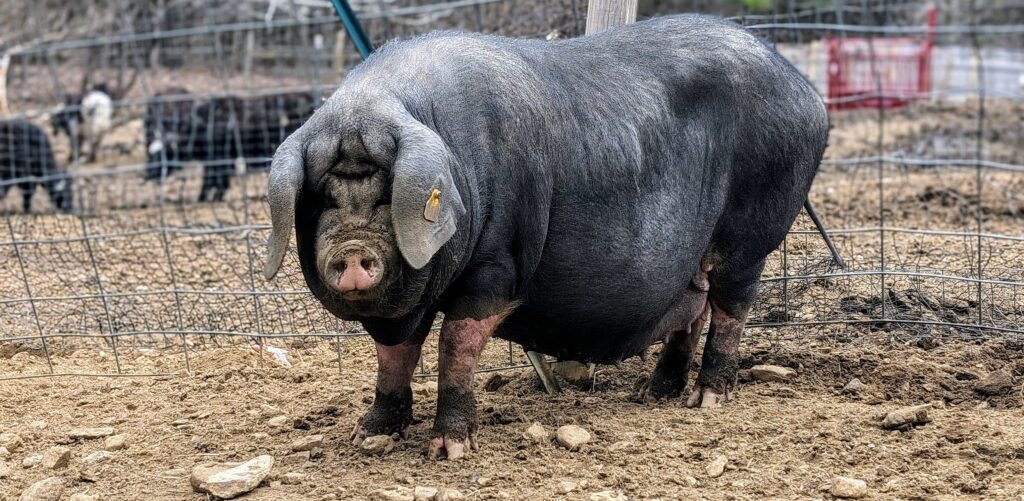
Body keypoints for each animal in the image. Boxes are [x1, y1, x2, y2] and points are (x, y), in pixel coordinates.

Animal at [264, 13, 831, 458]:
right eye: (320, 199)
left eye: (387, 195)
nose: (352, 252)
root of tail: (808, 91)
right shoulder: (402, 303)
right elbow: (393, 355)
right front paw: (368, 436)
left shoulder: (499, 262)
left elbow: (455, 344)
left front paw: (450, 451)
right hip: (692, 258)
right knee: (691, 309)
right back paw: (654, 395)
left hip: (753, 228)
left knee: (731, 305)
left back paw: (707, 400)